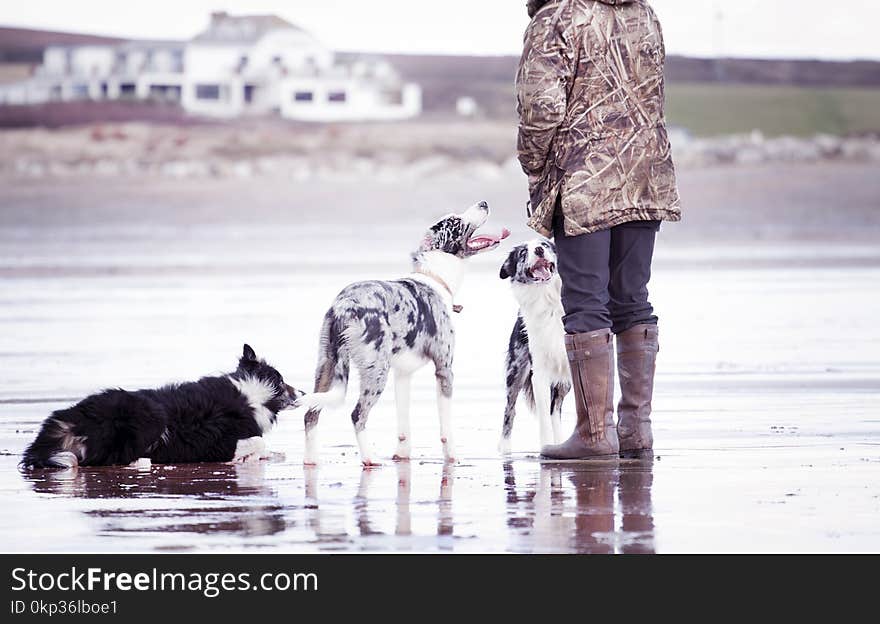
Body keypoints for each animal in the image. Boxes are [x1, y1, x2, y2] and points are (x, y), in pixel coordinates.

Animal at [20, 346, 302, 468]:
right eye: (283, 381)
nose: (302, 392)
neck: (254, 392)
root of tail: (72, 420)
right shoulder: (218, 442)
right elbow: (257, 441)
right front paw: (251, 455)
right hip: (148, 417)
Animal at [302, 202, 508, 466]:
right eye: (455, 222)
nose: (484, 203)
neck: (435, 277)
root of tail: (343, 306)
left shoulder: (402, 374)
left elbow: (403, 426)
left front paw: (401, 456)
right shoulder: (444, 370)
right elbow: (445, 429)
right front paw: (452, 457)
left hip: (326, 367)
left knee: (310, 414)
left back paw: (310, 460)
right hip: (376, 372)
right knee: (357, 414)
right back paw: (369, 459)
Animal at [498, 239, 568, 454]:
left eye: (545, 245)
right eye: (523, 252)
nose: (538, 250)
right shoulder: (539, 372)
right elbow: (544, 418)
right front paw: (545, 446)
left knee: (556, 409)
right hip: (515, 371)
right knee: (509, 410)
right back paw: (505, 449)